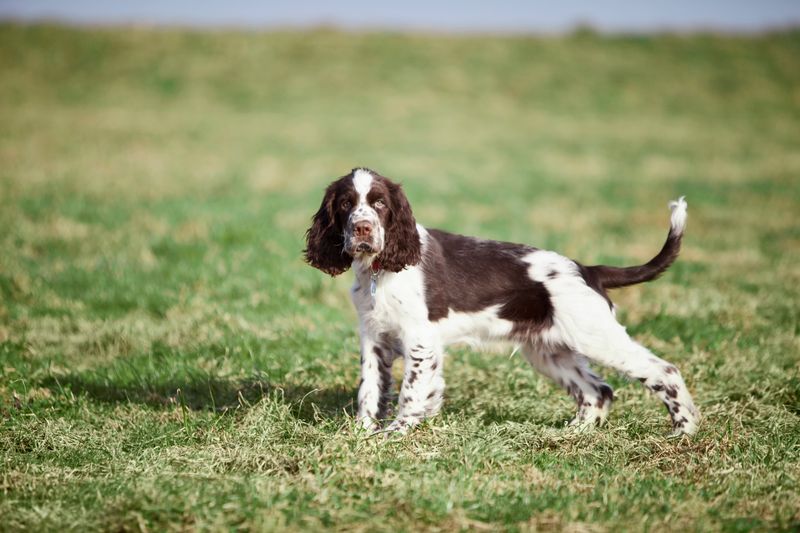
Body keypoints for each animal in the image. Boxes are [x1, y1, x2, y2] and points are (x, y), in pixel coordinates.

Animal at [306, 168, 700, 434]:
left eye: (380, 203)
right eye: (346, 204)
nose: (362, 229)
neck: (379, 269)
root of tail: (588, 270)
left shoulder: (420, 339)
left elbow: (411, 392)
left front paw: (397, 433)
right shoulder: (374, 336)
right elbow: (370, 389)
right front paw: (361, 433)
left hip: (596, 336)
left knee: (664, 372)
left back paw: (685, 430)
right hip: (549, 350)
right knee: (597, 390)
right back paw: (574, 433)